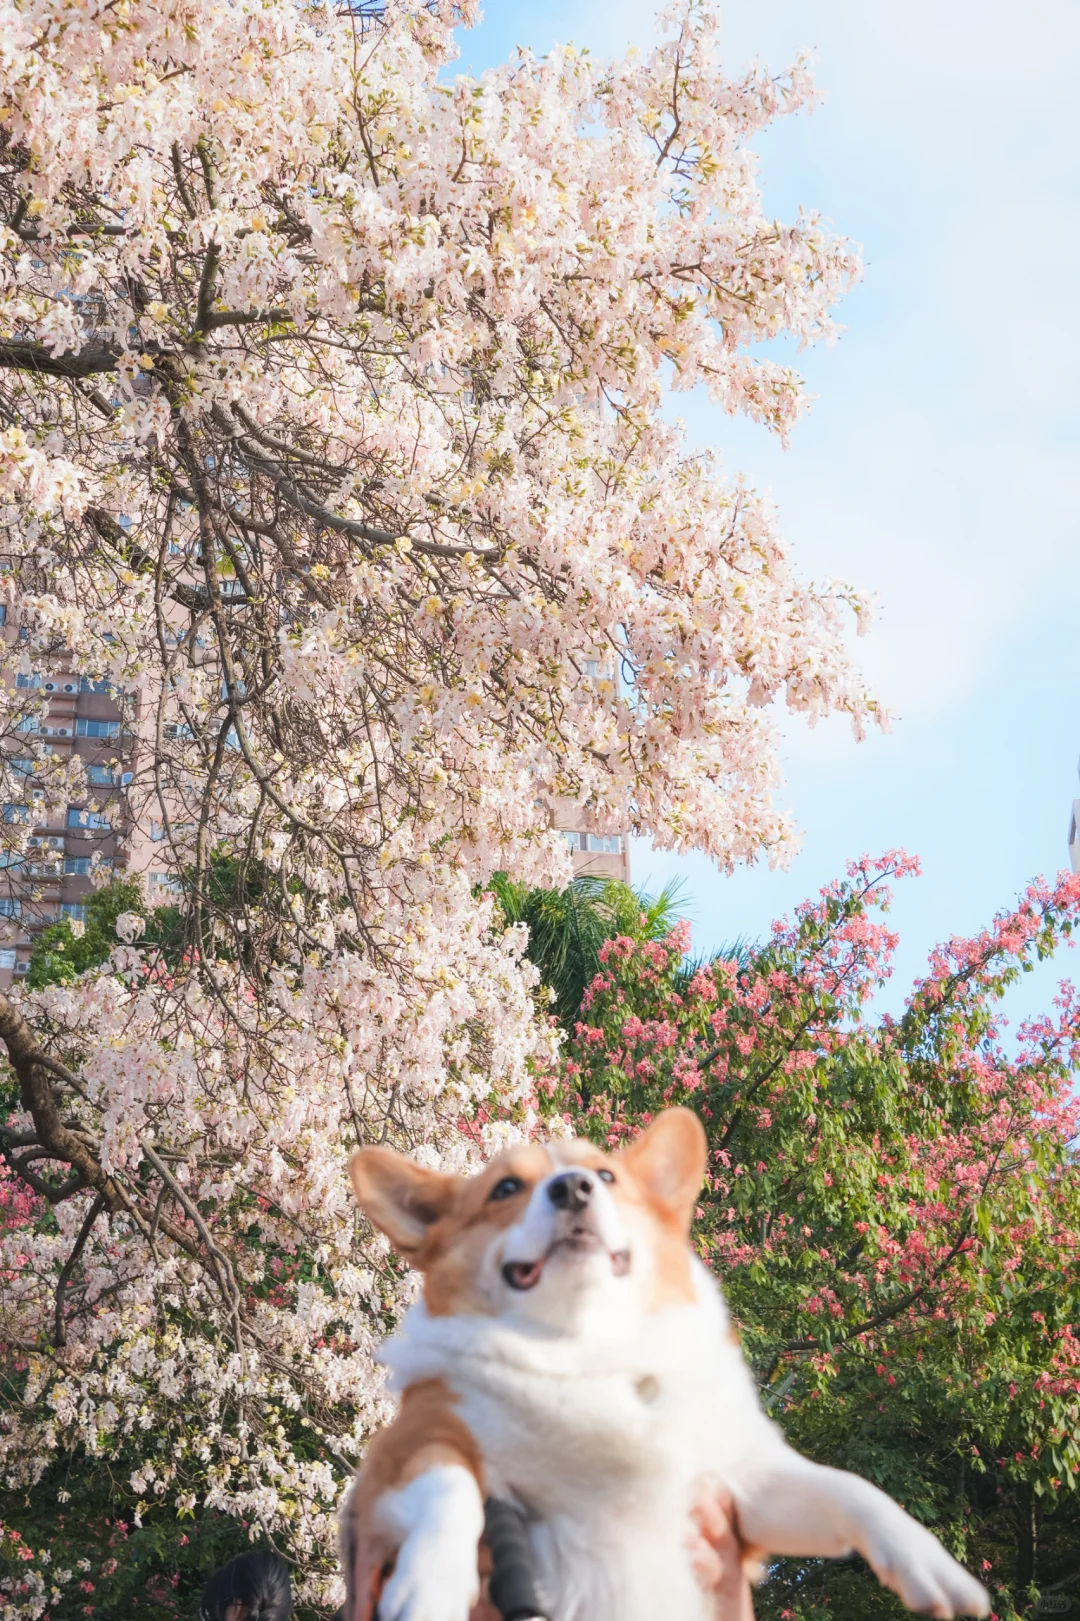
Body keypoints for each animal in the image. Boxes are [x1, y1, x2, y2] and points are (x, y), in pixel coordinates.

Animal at [340, 1108, 985, 1621]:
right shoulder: (407, 1451)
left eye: (606, 1176)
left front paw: (931, 1564)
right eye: (504, 1189)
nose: (573, 1188)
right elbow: (450, 1487)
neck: (584, 1347)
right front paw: (428, 1586)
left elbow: (851, 1490)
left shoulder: (745, 1488)